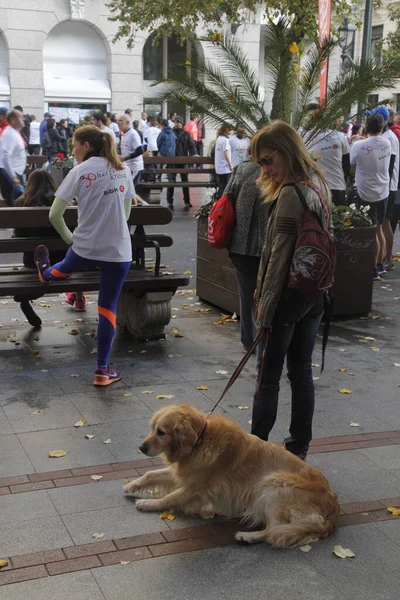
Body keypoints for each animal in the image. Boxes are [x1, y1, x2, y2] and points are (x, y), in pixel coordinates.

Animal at [123, 404, 340, 548]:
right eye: (152, 428)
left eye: (161, 432)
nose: (141, 448)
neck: (200, 441)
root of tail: (333, 509)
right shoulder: (183, 473)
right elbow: (150, 474)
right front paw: (131, 486)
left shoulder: (196, 487)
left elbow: (170, 498)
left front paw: (148, 504)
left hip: (273, 485)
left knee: (273, 531)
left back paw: (247, 536)